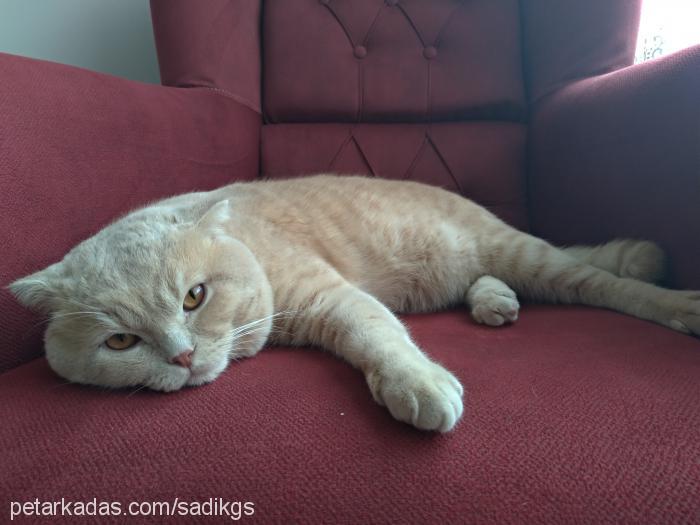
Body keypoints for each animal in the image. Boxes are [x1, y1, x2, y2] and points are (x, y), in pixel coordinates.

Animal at [8, 176, 696, 430]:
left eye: (194, 297)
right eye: (121, 341)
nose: (181, 358)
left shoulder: (331, 296)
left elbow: (378, 333)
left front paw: (417, 382)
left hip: (529, 255)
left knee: (602, 281)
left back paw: (677, 302)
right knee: (496, 281)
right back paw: (493, 301)